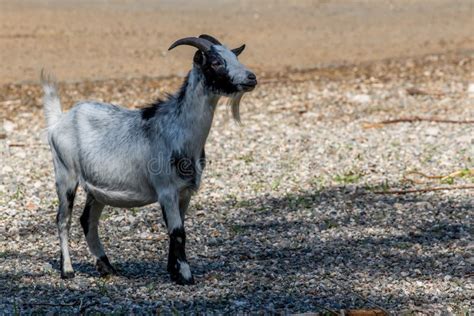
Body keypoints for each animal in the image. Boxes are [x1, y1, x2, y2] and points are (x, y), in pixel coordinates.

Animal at [41, 34, 258, 284]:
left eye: (234, 56)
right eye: (215, 62)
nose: (251, 78)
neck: (178, 130)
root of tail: (59, 120)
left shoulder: (185, 192)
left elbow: (178, 228)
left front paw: (173, 270)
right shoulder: (167, 190)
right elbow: (177, 231)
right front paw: (186, 276)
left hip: (96, 189)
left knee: (87, 220)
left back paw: (107, 267)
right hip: (65, 174)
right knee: (63, 219)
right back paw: (67, 271)